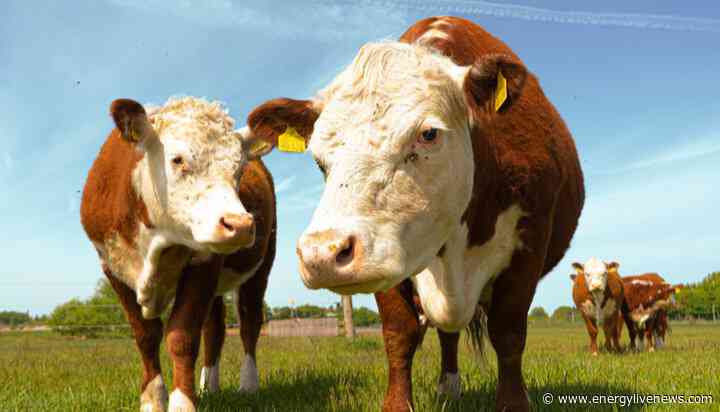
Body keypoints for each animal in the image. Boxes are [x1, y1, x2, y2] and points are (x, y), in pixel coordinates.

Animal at [80, 97, 276, 412]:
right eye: (177, 159)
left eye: (239, 169)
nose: (240, 225)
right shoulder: (112, 267)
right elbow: (146, 335)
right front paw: (152, 399)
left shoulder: (205, 262)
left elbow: (182, 335)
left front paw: (182, 402)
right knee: (215, 329)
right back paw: (209, 386)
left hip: (261, 265)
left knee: (249, 322)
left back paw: (248, 385)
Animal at [245, 16, 584, 412]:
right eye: (317, 158)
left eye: (428, 134)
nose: (321, 254)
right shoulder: (386, 257)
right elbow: (399, 334)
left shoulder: (530, 242)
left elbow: (509, 332)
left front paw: (514, 403)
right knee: (447, 334)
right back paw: (448, 387)